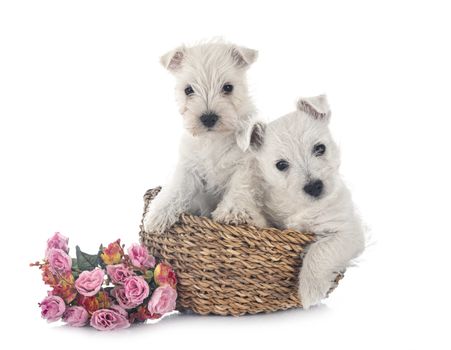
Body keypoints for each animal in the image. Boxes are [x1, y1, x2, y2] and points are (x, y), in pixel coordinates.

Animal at [144, 39, 268, 234]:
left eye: (228, 87)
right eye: (188, 90)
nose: (208, 118)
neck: (213, 139)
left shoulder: (245, 163)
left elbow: (239, 186)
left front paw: (232, 211)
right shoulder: (189, 166)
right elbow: (176, 188)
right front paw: (157, 215)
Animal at [256, 95, 366, 308]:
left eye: (320, 148)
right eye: (281, 165)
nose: (314, 187)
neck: (304, 207)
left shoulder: (348, 231)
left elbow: (321, 249)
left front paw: (310, 291)